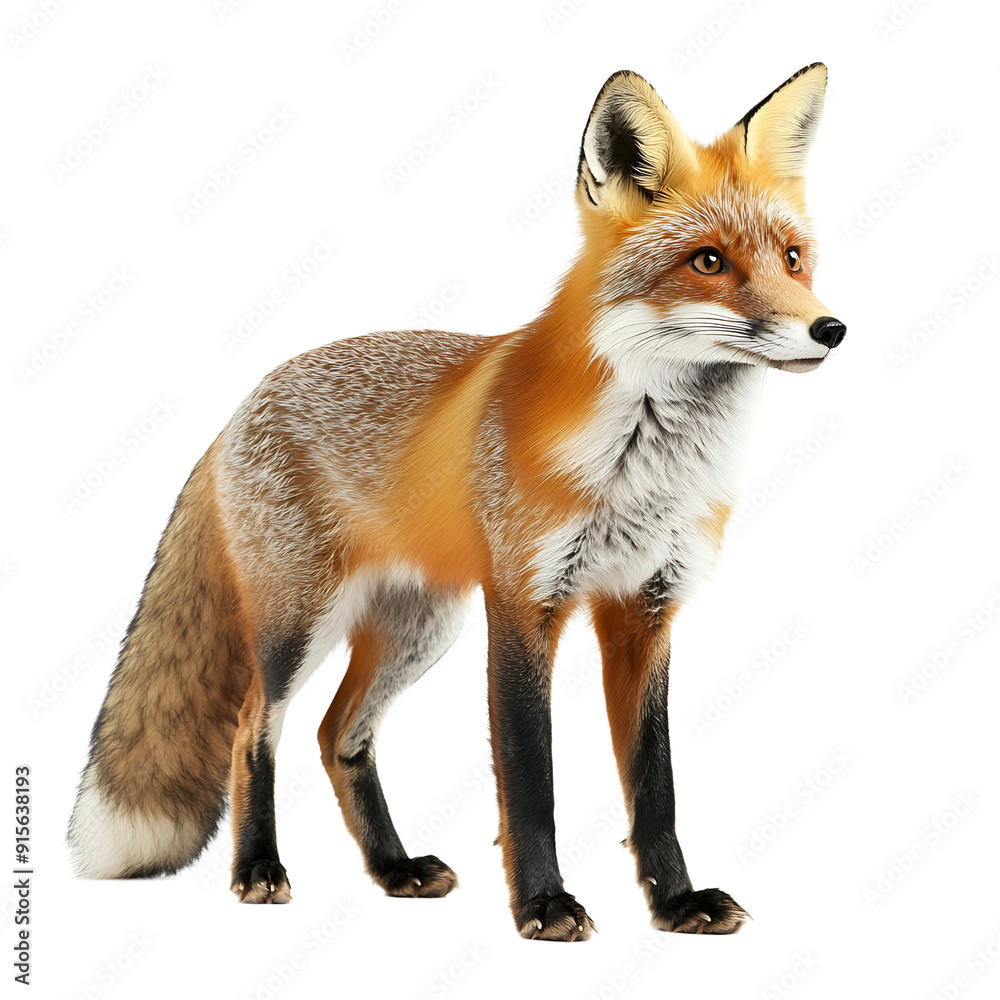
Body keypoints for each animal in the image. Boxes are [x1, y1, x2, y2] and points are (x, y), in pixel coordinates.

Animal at [69, 63, 845, 941]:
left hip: (420, 627)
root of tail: (241, 405)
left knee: (338, 734)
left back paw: (393, 868)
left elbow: (656, 787)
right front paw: (544, 905)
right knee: (251, 729)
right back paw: (259, 867)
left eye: (793, 258)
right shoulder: (524, 600)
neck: (645, 466)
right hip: (298, 622)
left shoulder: (645, 609)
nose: (831, 328)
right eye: (708, 261)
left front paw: (676, 902)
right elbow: (531, 779)